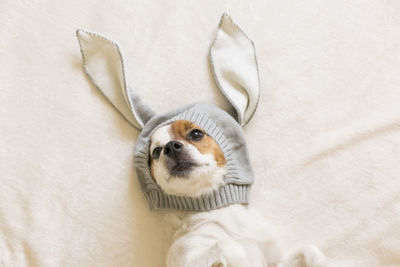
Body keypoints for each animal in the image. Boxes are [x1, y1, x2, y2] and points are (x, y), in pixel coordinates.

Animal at [148, 120, 326, 267]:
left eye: (196, 134)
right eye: (156, 152)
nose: (171, 147)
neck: (217, 209)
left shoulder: (275, 262)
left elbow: (310, 250)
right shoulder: (185, 258)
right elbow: (229, 245)